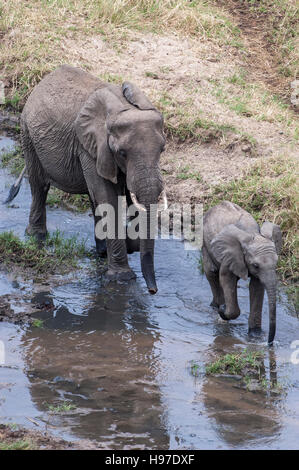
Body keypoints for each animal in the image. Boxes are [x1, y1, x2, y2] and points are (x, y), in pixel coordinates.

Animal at [16, 66, 168, 294]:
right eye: (122, 153)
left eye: (162, 149)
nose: (153, 291)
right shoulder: (89, 147)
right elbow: (109, 198)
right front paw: (122, 277)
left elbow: (118, 197)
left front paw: (128, 245)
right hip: (28, 134)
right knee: (39, 186)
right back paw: (36, 237)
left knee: (91, 196)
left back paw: (102, 251)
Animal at [203, 200, 282, 344]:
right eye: (255, 265)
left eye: (276, 263)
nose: (269, 343)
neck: (252, 233)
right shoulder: (230, 255)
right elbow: (226, 279)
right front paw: (223, 310)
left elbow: (256, 287)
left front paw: (255, 336)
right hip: (205, 243)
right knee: (212, 273)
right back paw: (216, 307)